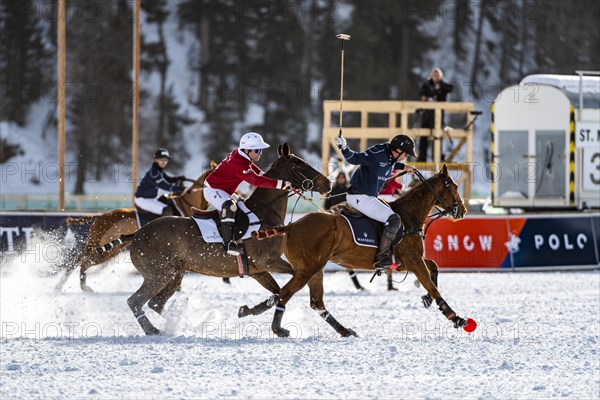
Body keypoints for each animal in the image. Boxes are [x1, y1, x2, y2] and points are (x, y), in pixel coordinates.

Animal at [54, 161, 218, 292]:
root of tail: (100, 216)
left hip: (111, 248)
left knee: (83, 261)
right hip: (99, 245)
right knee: (79, 260)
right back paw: (67, 286)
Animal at [120, 144, 330, 334]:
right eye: (299, 164)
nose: (327, 183)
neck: (264, 214)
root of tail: (137, 234)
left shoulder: (258, 271)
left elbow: (277, 293)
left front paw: (247, 310)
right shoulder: (269, 261)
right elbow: (292, 280)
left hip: (175, 274)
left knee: (156, 303)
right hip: (159, 274)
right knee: (135, 301)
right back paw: (152, 329)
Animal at [247, 165, 468, 338]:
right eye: (454, 187)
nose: (462, 211)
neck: (408, 217)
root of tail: (291, 226)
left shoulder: (405, 262)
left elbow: (434, 268)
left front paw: (427, 299)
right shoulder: (413, 260)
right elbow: (432, 285)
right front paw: (456, 318)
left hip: (315, 269)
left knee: (315, 302)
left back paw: (344, 331)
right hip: (307, 270)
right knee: (286, 293)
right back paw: (278, 328)